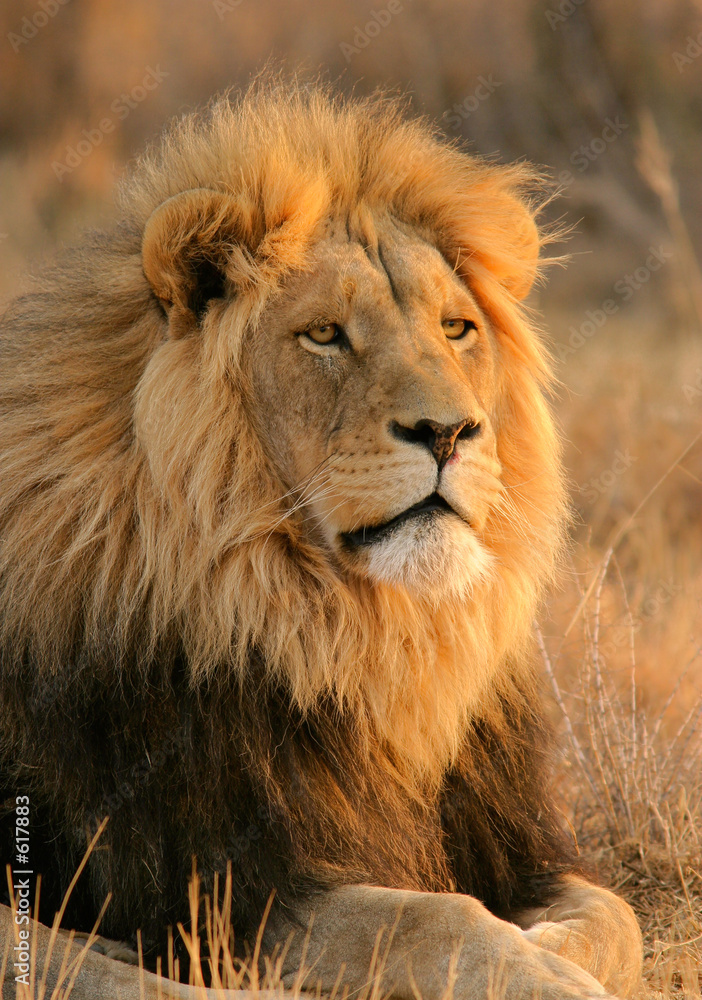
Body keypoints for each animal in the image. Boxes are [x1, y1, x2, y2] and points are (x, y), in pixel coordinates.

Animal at [0, 80, 642, 1000]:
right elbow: (434, 918)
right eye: (325, 335)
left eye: (456, 329)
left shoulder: (505, 844)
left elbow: (614, 915)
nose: (450, 432)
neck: (358, 642)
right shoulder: (232, 884)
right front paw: (549, 979)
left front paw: (554, 950)